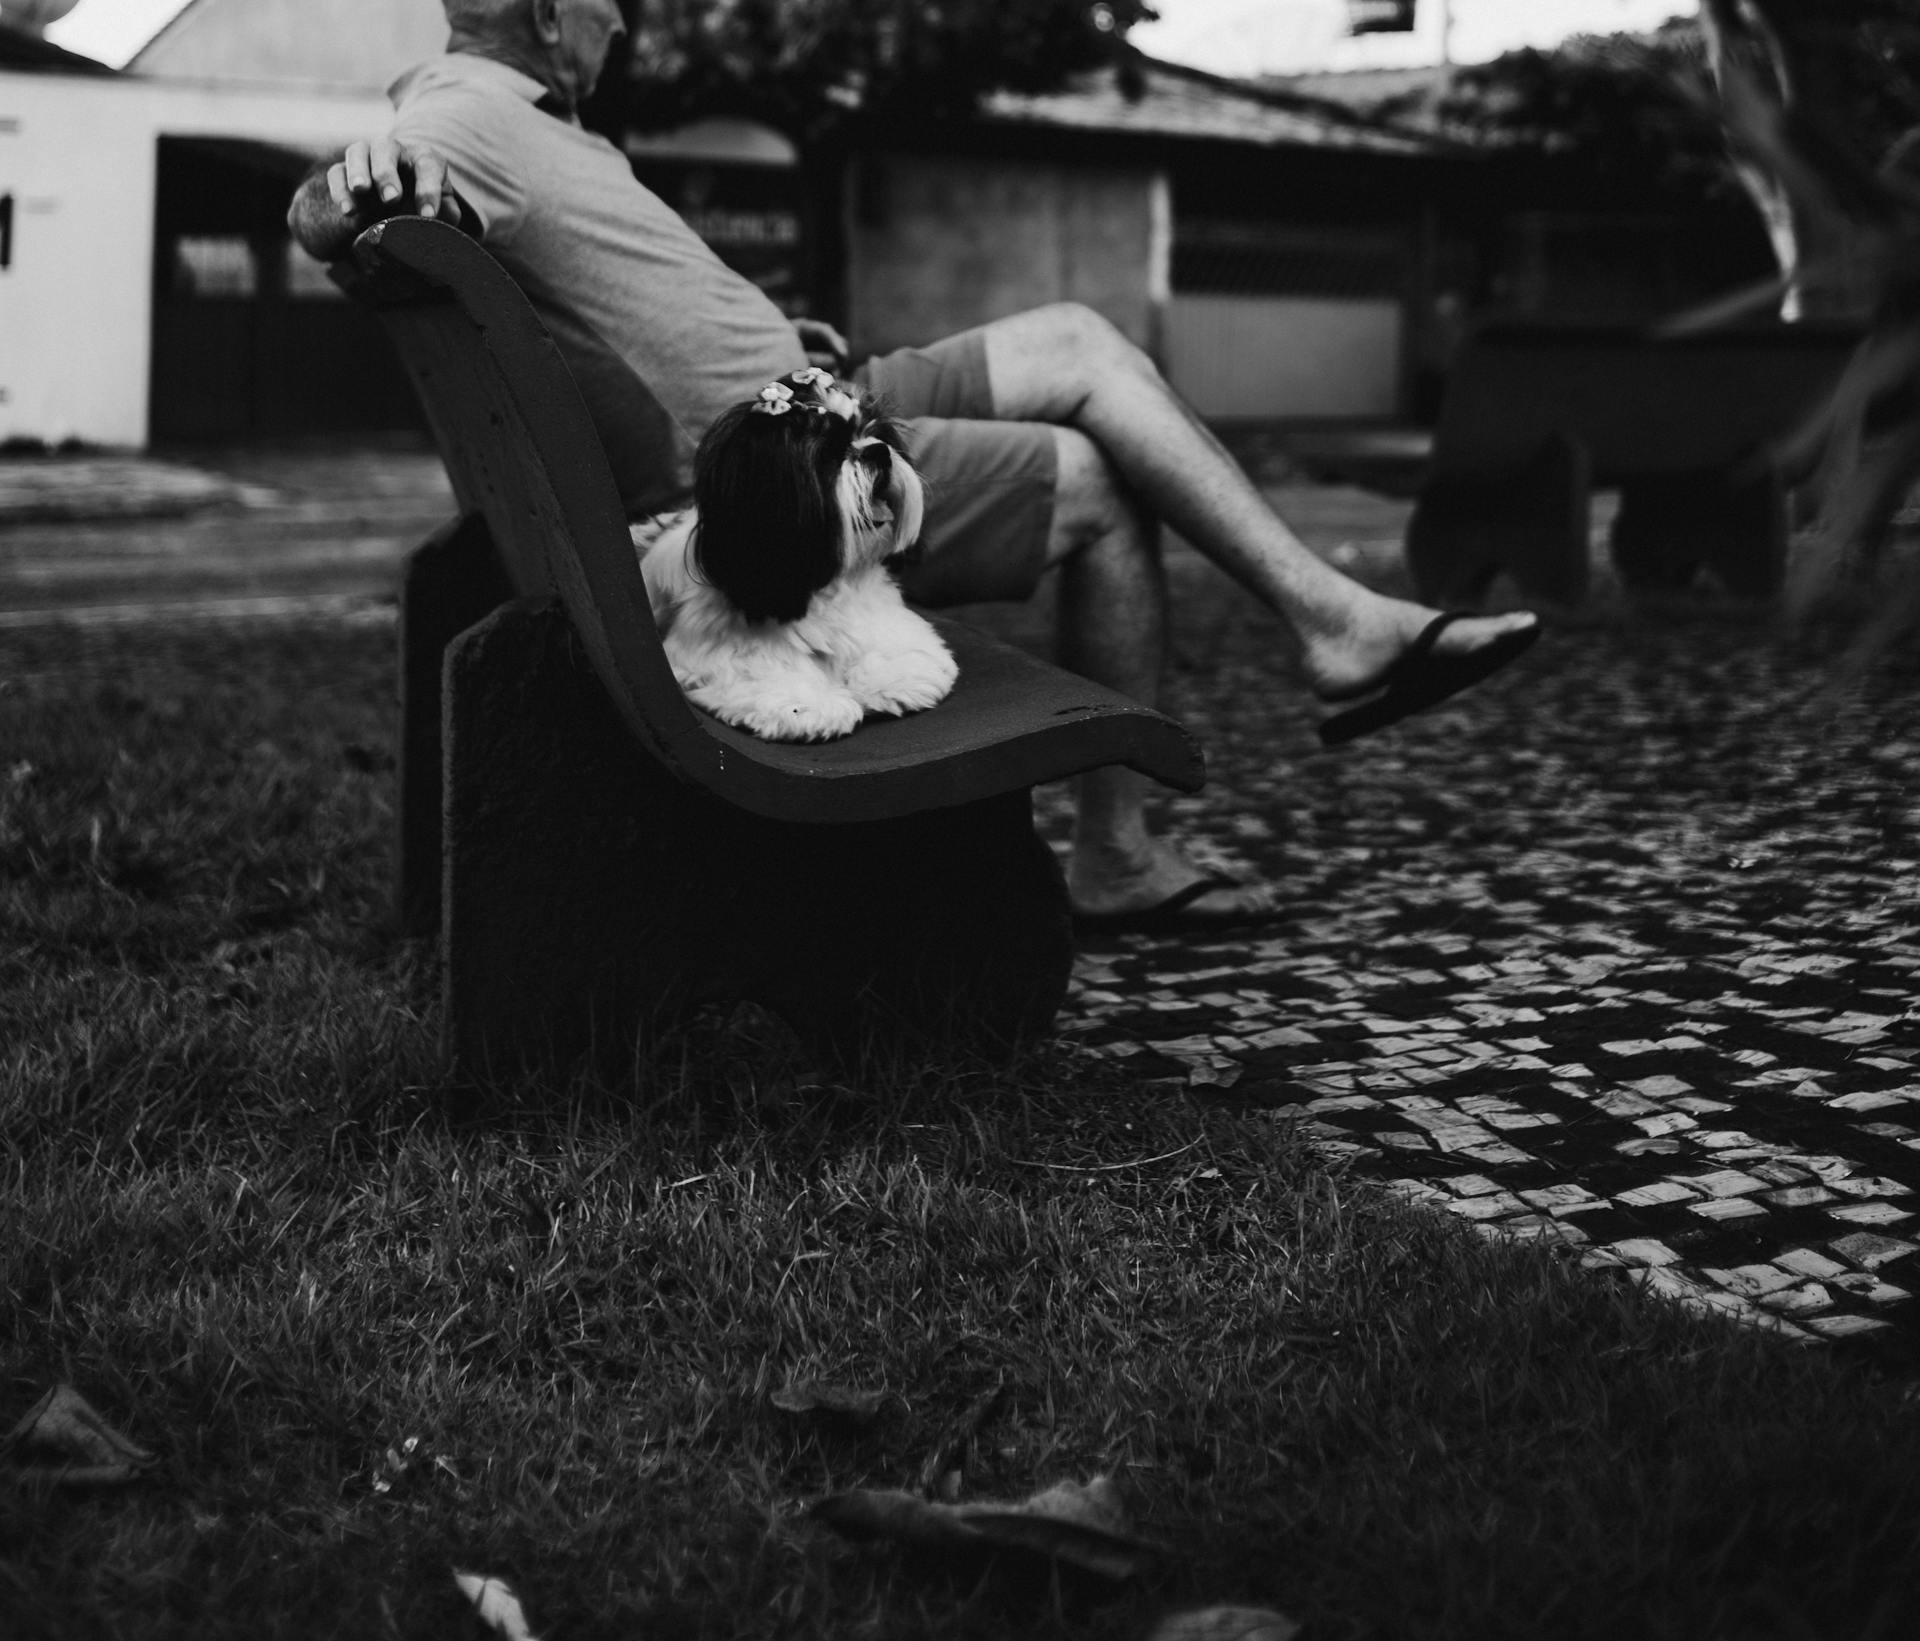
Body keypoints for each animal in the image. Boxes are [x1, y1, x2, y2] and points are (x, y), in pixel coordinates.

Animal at [633, 370, 956, 744]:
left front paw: (896, 676)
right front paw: (810, 705)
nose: (878, 452)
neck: (823, 582)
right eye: (829, 453)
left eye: (877, 433)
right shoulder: (717, 647)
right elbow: (765, 671)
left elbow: (889, 642)